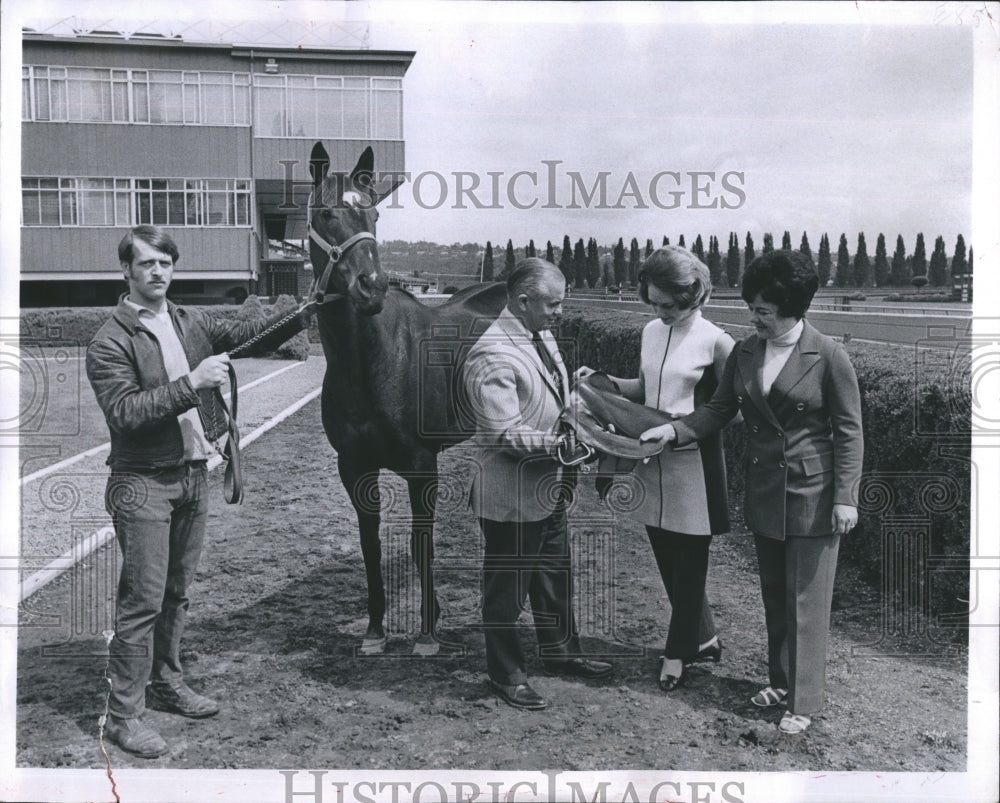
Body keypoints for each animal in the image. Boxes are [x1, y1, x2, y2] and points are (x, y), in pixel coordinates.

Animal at [306, 144, 508, 656]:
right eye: (326, 213)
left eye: (374, 213)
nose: (372, 286)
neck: (374, 362)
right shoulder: (355, 467)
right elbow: (370, 545)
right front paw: (376, 630)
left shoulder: (421, 464)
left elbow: (422, 543)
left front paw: (428, 631)